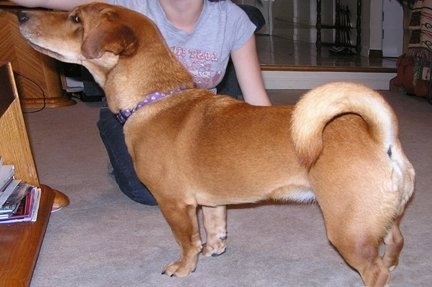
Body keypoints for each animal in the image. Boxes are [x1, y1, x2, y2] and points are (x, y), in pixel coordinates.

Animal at [18, 3, 416, 286]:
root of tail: (380, 137)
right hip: (382, 218)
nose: (21, 13)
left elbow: (187, 240)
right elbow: (214, 226)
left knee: (375, 270)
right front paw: (215, 247)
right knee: (395, 244)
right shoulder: (211, 202)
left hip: (349, 231)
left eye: (75, 18)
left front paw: (184, 267)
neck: (156, 98)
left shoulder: (174, 204)